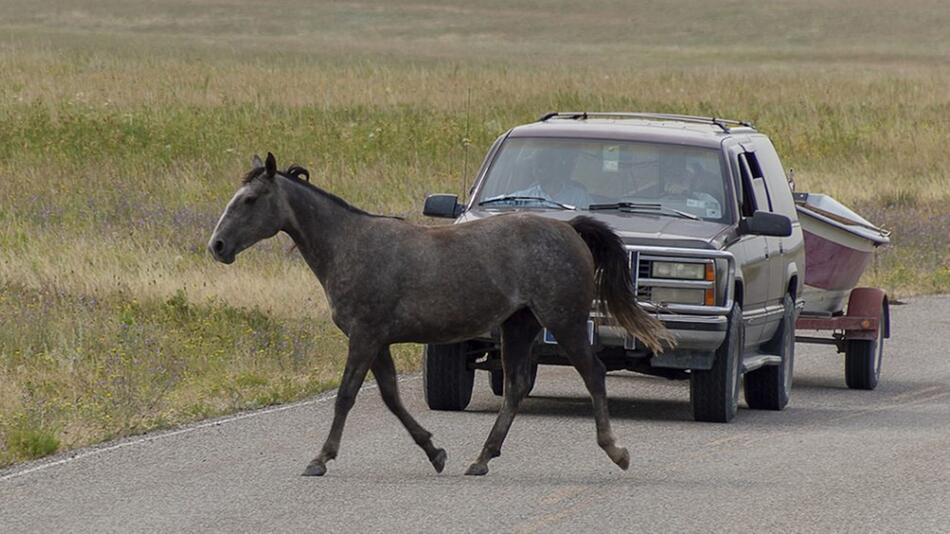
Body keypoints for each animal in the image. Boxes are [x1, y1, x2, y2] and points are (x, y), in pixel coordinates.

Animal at [207, 152, 672, 478]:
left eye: (249, 200)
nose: (217, 246)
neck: (349, 245)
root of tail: (569, 228)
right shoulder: (378, 341)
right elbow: (391, 397)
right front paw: (435, 453)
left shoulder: (363, 337)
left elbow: (346, 396)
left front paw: (320, 458)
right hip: (519, 326)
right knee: (517, 385)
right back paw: (481, 459)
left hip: (566, 322)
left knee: (592, 373)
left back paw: (616, 451)